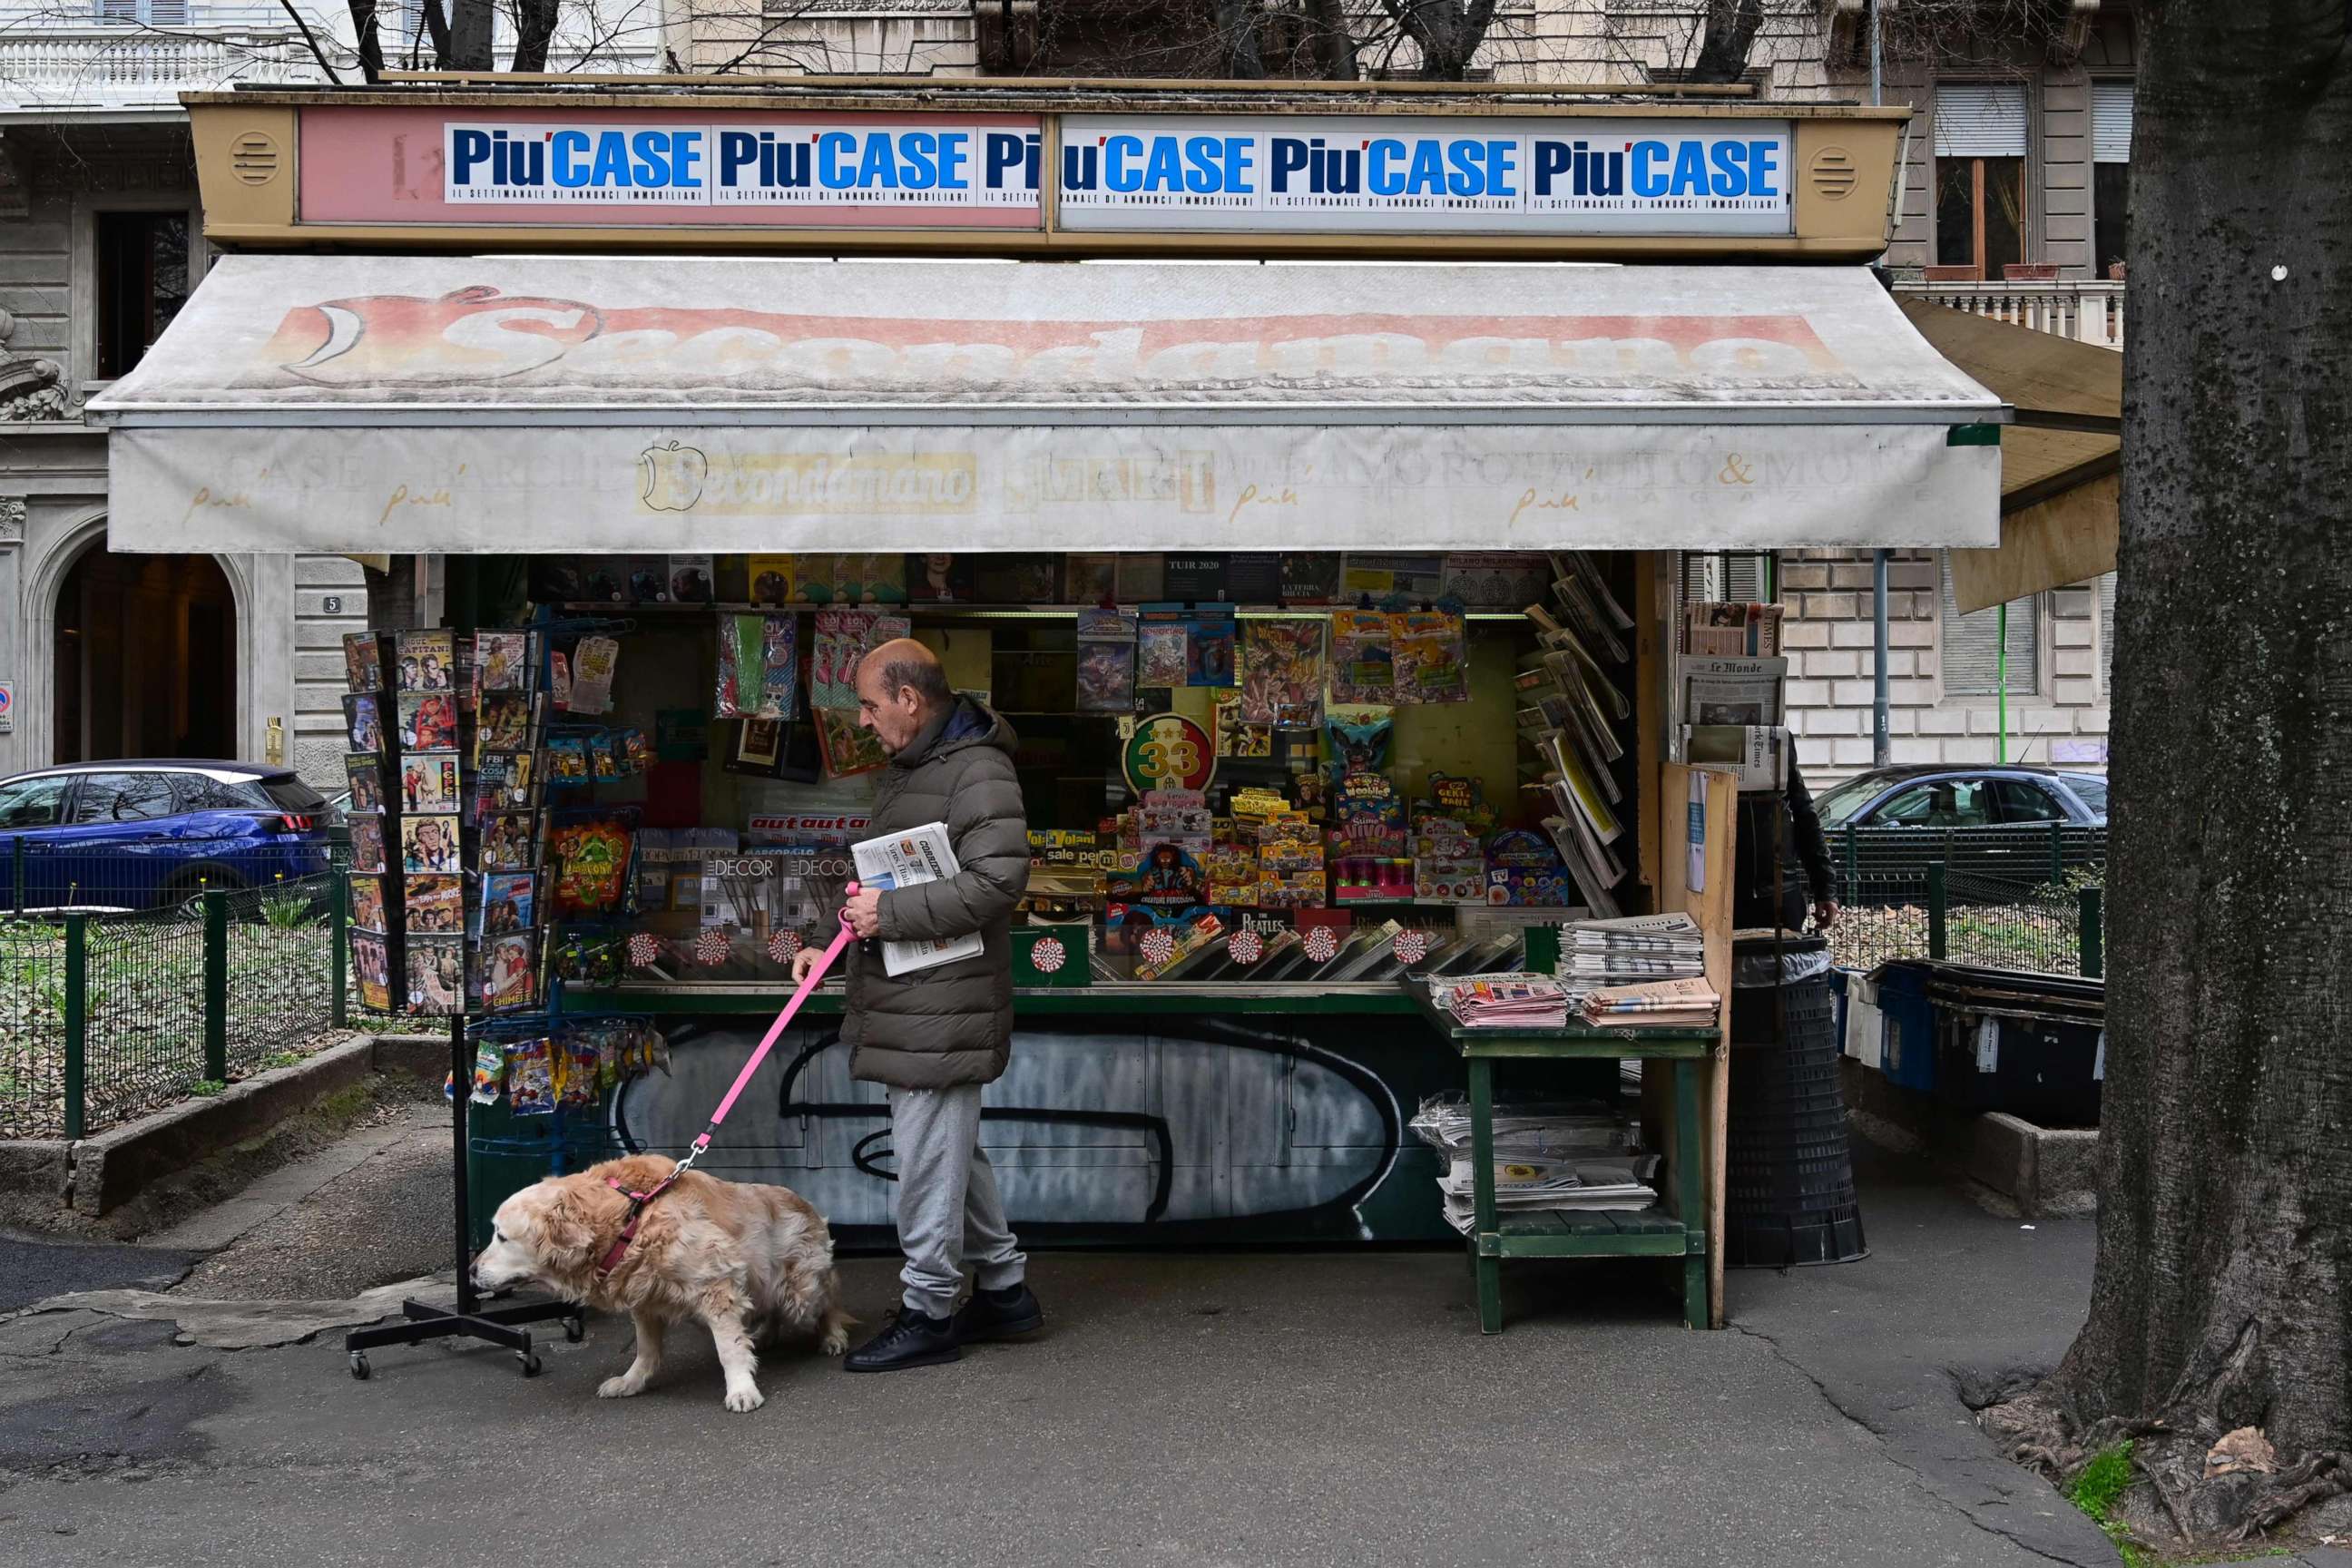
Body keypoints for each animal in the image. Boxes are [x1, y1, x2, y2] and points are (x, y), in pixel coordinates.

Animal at [472, 1152, 851, 1410]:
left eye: (501, 1236)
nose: (472, 1271)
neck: (630, 1220)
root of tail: (804, 1201)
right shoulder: (645, 1299)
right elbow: (645, 1349)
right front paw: (631, 1381)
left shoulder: (716, 1285)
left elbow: (728, 1349)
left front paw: (742, 1389)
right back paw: (767, 1335)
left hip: (801, 1290)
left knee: (828, 1297)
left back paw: (832, 1336)